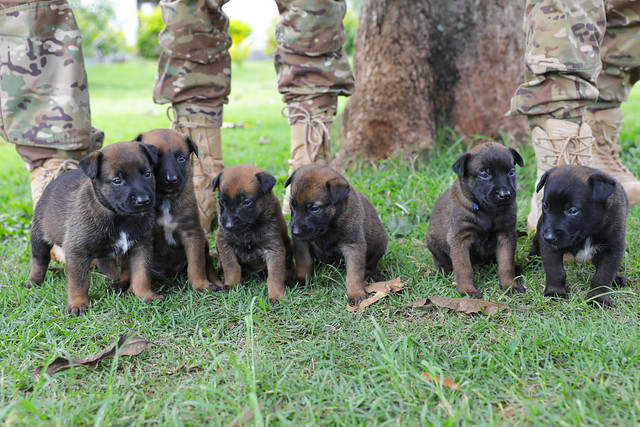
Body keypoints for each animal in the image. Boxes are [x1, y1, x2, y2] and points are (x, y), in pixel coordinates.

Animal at [26, 142, 162, 316]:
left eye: (147, 174)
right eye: (117, 181)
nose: (143, 201)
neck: (120, 218)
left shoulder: (140, 246)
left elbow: (141, 275)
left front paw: (146, 295)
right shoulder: (76, 251)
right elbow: (79, 282)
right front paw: (77, 304)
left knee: (109, 264)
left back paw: (119, 282)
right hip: (39, 236)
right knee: (39, 260)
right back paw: (33, 281)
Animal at [214, 164, 296, 300]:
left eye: (246, 202)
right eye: (222, 201)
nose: (229, 225)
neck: (248, 230)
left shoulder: (273, 249)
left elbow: (275, 276)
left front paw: (276, 295)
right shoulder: (224, 242)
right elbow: (231, 266)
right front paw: (231, 285)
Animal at [286, 165, 388, 308]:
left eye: (314, 208)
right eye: (292, 204)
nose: (295, 232)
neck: (328, 229)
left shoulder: (353, 246)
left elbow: (354, 275)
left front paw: (356, 293)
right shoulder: (302, 242)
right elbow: (304, 262)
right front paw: (303, 280)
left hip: (380, 242)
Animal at [424, 142, 524, 300]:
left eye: (511, 172)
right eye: (484, 175)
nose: (505, 195)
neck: (486, 211)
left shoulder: (506, 234)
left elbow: (506, 264)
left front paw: (510, 285)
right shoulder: (460, 238)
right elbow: (464, 268)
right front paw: (467, 290)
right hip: (432, 242)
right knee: (441, 261)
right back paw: (444, 270)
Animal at [528, 165, 632, 308]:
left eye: (572, 211)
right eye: (545, 206)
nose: (549, 237)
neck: (587, 233)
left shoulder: (613, 249)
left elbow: (603, 275)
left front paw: (598, 298)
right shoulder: (549, 247)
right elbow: (555, 271)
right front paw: (555, 293)